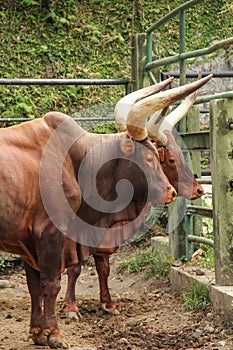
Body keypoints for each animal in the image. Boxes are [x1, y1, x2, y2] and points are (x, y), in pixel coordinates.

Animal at [63, 74, 213, 320]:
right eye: (171, 159)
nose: (199, 190)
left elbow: (104, 268)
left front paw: (108, 303)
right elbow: (74, 267)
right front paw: (70, 308)